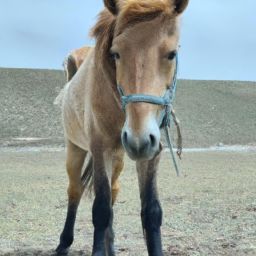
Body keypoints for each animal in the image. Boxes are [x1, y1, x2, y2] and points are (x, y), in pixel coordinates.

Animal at [55, 1, 188, 255]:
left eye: (172, 54)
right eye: (115, 53)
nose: (138, 139)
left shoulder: (151, 152)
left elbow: (151, 211)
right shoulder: (100, 150)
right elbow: (100, 210)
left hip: (119, 158)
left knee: (113, 191)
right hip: (76, 149)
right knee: (75, 191)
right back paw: (63, 243)